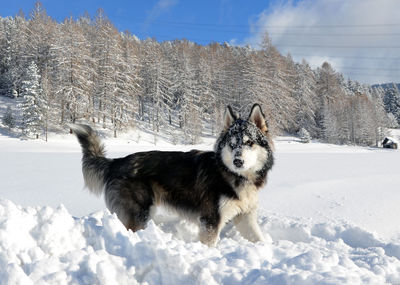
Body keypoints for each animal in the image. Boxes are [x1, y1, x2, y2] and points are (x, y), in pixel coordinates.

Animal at [70, 103, 274, 245]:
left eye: (249, 143)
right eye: (232, 144)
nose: (237, 161)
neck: (236, 177)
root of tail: (116, 161)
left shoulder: (245, 217)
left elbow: (259, 239)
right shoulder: (211, 221)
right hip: (139, 214)